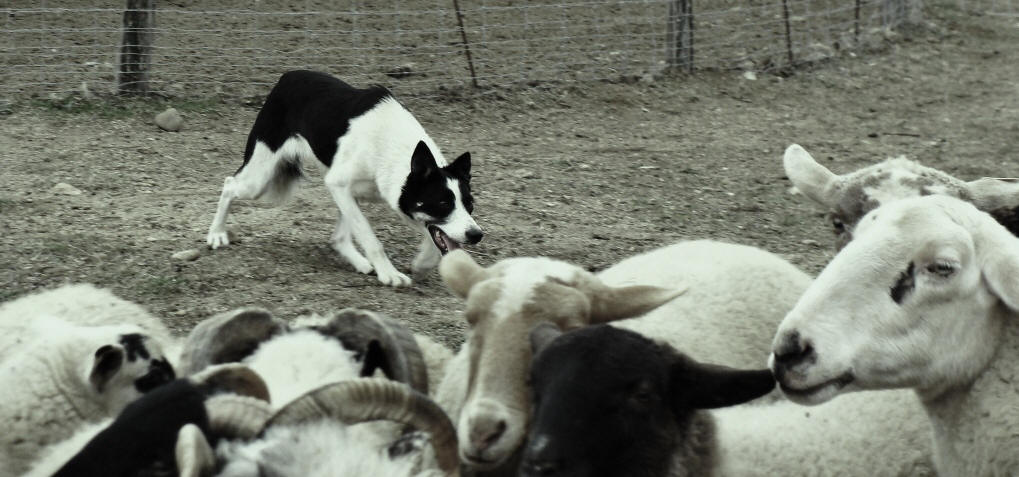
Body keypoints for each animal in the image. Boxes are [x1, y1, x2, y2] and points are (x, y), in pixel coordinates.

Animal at [204, 69, 483, 287]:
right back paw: (216, 234)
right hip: (261, 180)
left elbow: (432, 237)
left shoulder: (350, 191)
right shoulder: (339, 185)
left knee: (338, 238)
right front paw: (390, 274)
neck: (391, 148)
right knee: (229, 185)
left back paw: (361, 263)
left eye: (469, 204)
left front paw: (423, 263)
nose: (476, 235)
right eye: (443, 204)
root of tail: (287, 76)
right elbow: (371, 238)